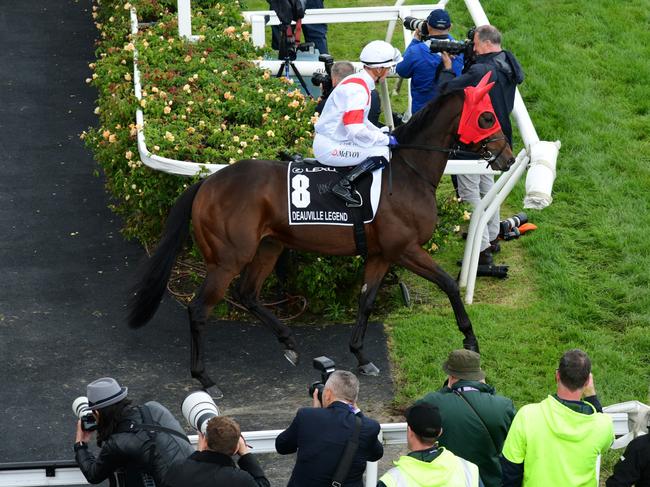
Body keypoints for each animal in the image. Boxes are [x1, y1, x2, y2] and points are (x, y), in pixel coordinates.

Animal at [126, 79, 512, 392]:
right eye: (487, 117)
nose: (507, 156)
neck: (407, 173)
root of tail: (206, 183)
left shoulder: (381, 254)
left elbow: (366, 301)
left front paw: (361, 356)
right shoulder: (405, 249)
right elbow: (448, 284)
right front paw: (470, 340)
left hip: (269, 246)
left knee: (248, 293)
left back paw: (289, 343)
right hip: (228, 258)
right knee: (199, 309)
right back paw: (205, 378)